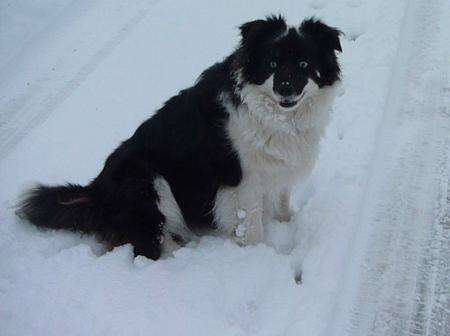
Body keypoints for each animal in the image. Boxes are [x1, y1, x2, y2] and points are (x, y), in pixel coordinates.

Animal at [16, 15, 342, 260]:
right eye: (272, 64)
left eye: (304, 64)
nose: (285, 89)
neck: (277, 117)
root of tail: (95, 191)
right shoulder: (242, 182)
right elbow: (251, 227)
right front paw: (259, 256)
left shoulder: (277, 169)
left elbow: (282, 202)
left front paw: (288, 224)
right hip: (148, 182)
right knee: (151, 246)